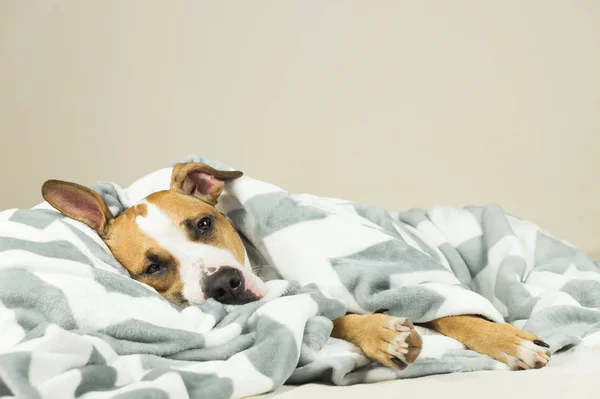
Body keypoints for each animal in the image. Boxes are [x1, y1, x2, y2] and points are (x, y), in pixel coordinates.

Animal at [39, 162, 552, 372]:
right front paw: (380, 333)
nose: (225, 284)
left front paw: (507, 341)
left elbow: (453, 311)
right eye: (152, 269)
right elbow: (338, 316)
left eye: (204, 223)